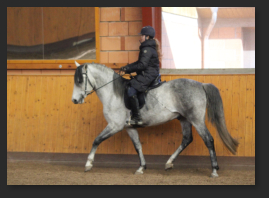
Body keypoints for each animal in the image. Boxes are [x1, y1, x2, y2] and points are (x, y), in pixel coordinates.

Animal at [71, 61, 239, 176]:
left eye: (79, 80)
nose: (74, 100)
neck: (113, 93)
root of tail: (201, 84)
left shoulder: (114, 125)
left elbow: (97, 140)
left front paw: (88, 164)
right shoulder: (129, 127)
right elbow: (138, 146)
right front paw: (141, 167)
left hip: (196, 120)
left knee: (208, 140)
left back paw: (214, 170)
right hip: (184, 119)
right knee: (186, 139)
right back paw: (169, 163)